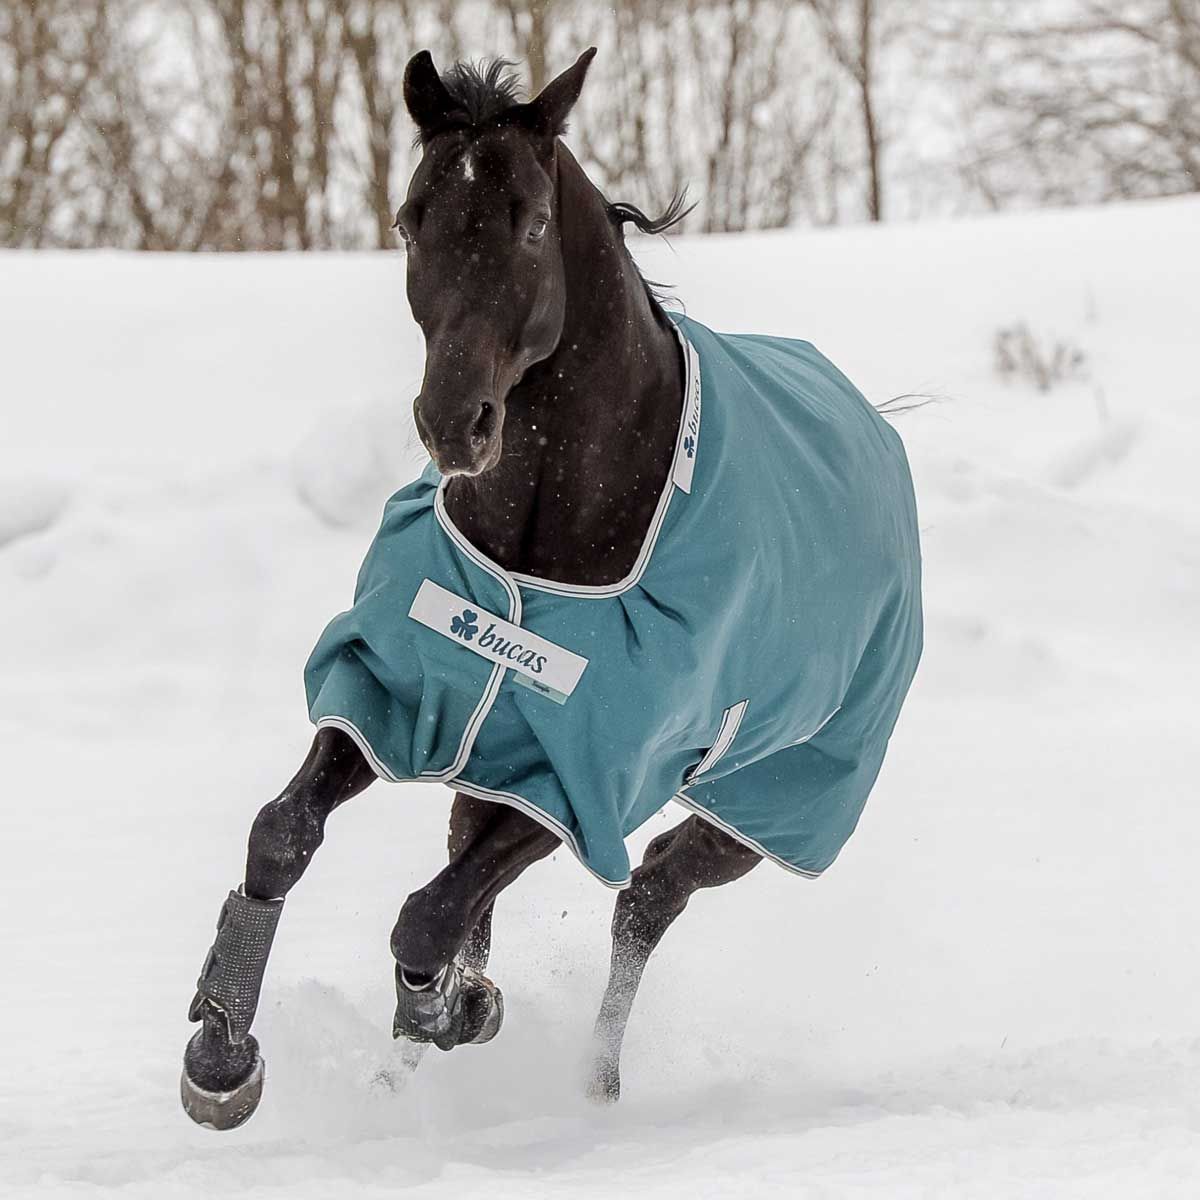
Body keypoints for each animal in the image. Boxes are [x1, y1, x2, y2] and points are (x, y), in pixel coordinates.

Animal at [180, 47, 922, 1131]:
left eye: (530, 221)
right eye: (409, 217)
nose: (455, 421)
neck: (540, 550)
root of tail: (875, 429)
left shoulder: (584, 776)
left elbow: (429, 915)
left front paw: (452, 1008)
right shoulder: (395, 695)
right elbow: (282, 835)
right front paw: (222, 1056)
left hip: (771, 800)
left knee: (647, 898)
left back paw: (591, 1082)